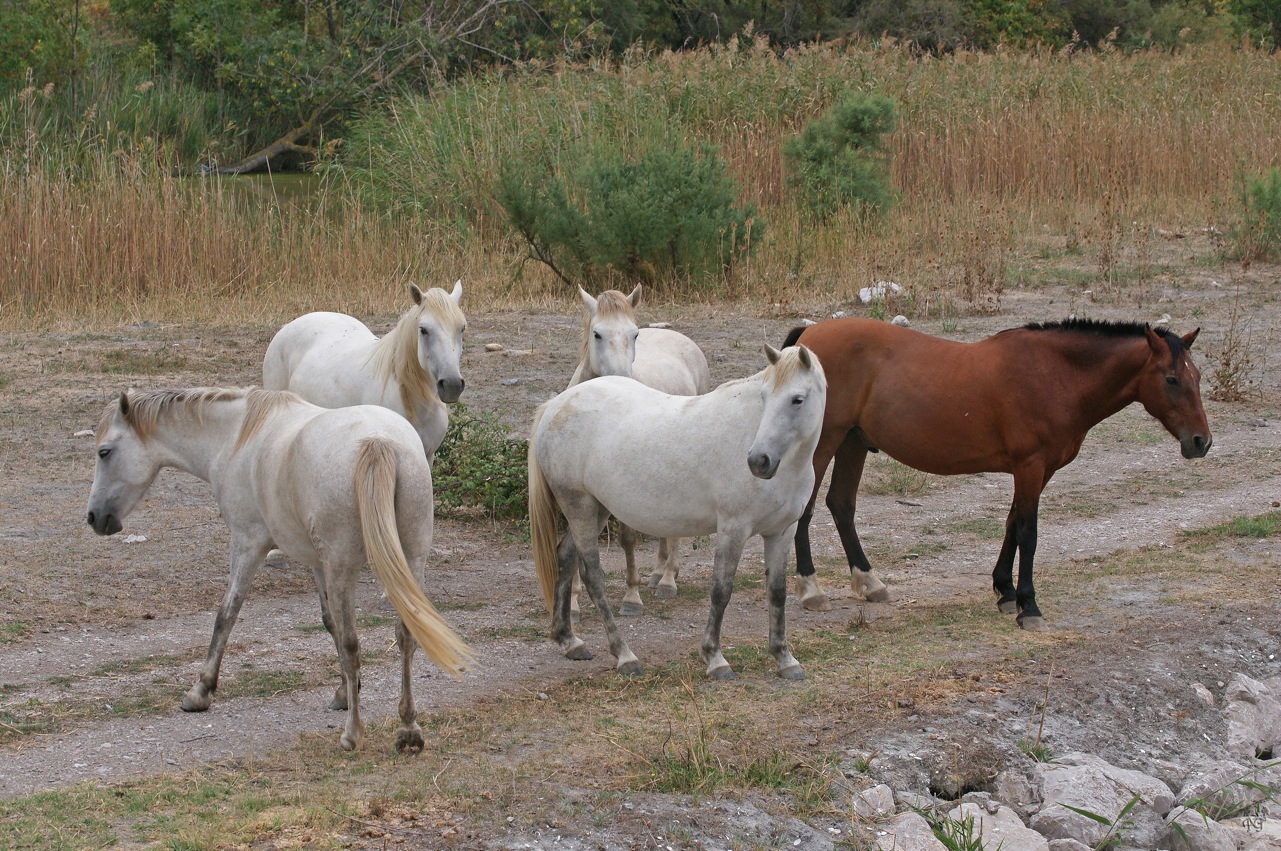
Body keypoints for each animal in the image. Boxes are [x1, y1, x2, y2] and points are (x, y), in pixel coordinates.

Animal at [87, 384, 473, 753]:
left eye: (104, 452)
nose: (94, 517)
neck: (236, 437)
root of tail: (379, 444)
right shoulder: (316, 561)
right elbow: (329, 623)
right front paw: (345, 692)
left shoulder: (248, 544)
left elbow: (227, 613)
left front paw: (201, 690)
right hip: (409, 560)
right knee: (406, 634)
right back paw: (408, 730)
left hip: (344, 567)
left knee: (354, 644)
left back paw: (353, 735)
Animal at [525, 343, 824, 681]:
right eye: (764, 396)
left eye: (797, 399)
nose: (759, 461)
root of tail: (556, 404)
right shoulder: (733, 529)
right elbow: (721, 591)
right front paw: (715, 658)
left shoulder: (782, 532)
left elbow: (777, 592)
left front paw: (785, 659)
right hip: (580, 507)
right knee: (592, 577)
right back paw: (625, 655)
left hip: (595, 509)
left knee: (564, 557)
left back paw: (569, 640)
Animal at [568, 287, 712, 617]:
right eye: (597, 333)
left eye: (634, 334)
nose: (621, 379)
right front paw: (573, 602)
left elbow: (628, 538)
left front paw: (631, 598)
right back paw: (659, 572)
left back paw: (668, 579)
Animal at [778, 315, 1209, 627]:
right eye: (1171, 379)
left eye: (1198, 377)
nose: (1201, 442)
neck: (1057, 375)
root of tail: (808, 337)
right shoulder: (1030, 465)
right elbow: (1029, 532)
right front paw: (1029, 606)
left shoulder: (1037, 470)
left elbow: (1013, 522)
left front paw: (1005, 590)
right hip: (825, 442)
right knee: (807, 508)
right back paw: (811, 589)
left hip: (852, 441)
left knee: (841, 504)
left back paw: (869, 582)